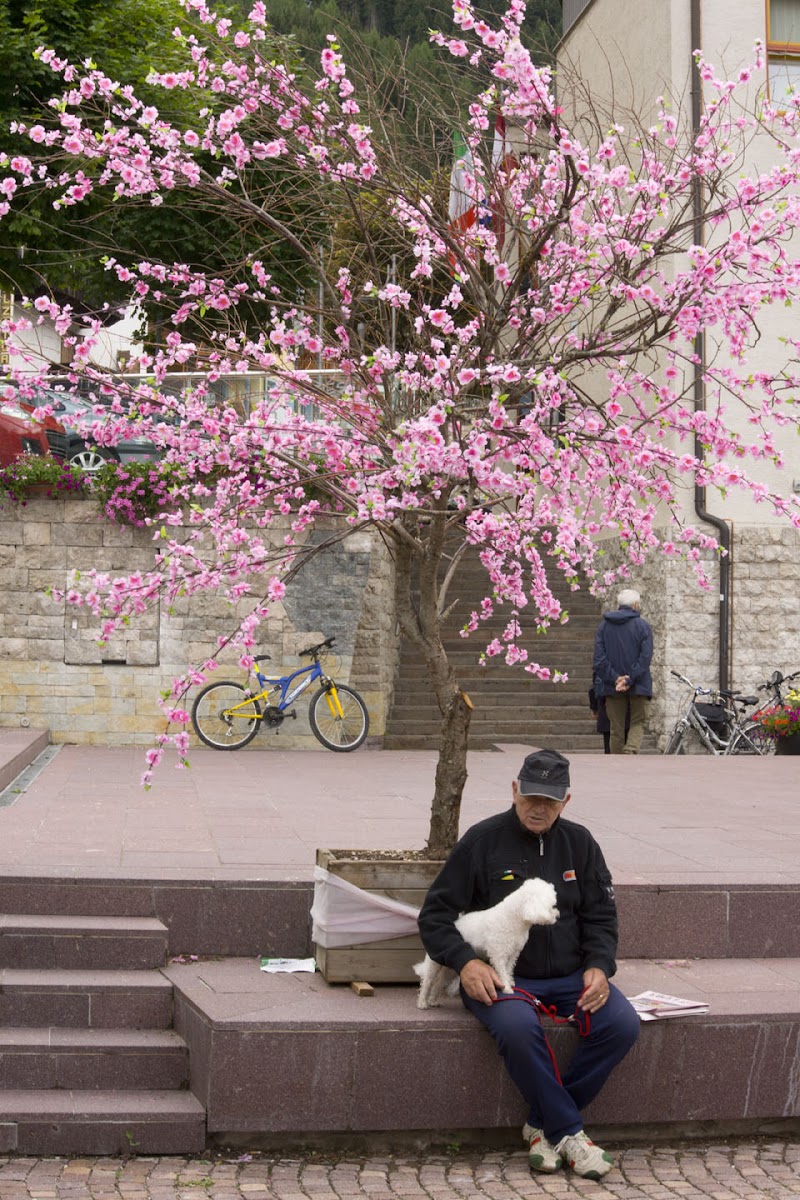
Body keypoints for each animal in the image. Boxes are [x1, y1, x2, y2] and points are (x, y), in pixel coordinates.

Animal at [417, 878, 561, 1008]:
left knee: (439, 983)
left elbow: (508, 969)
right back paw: (422, 1003)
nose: (557, 915)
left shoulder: (513, 953)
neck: (513, 918)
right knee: (427, 982)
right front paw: (507, 988)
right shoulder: (498, 953)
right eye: (551, 906)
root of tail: (455, 923)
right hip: (434, 963)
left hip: (451, 967)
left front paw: (510, 981)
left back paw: (433, 1000)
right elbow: (502, 971)